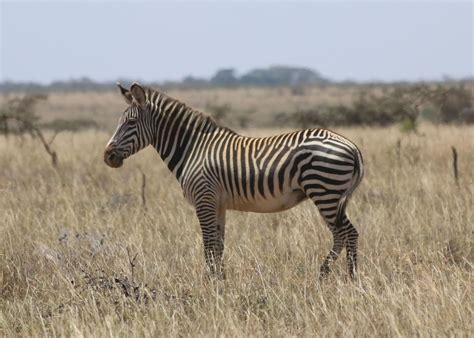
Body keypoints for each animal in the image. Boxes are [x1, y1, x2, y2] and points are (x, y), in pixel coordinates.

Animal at [103, 82, 362, 280]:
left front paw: (210, 284)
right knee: (343, 234)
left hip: (324, 190)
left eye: (130, 123)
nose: (107, 156)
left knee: (347, 233)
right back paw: (336, 275)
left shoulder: (204, 199)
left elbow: (208, 245)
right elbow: (218, 246)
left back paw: (343, 277)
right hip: (331, 195)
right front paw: (221, 281)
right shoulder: (217, 204)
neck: (193, 149)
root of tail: (352, 146)